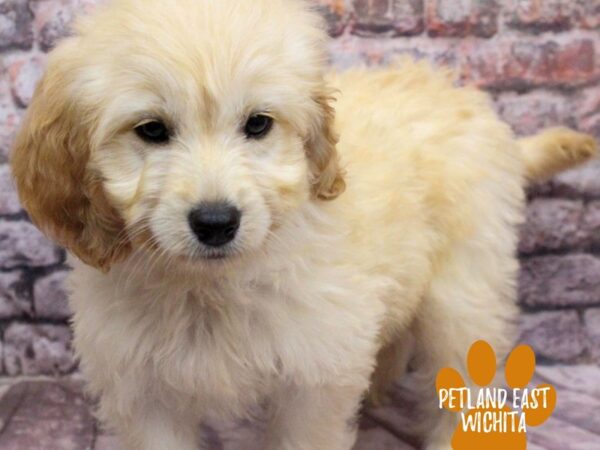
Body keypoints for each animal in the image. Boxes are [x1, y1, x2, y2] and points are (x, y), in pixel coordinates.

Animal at [9, 0, 596, 450]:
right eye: (151, 130)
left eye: (258, 124)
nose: (216, 222)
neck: (209, 287)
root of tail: (475, 106)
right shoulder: (143, 391)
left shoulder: (314, 376)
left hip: (462, 291)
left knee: (466, 376)